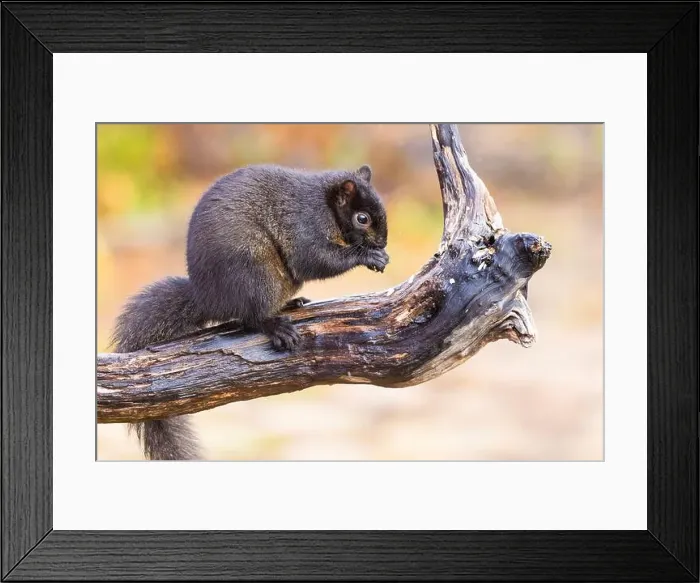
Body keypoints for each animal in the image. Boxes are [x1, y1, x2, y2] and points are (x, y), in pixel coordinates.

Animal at [110, 163, 389, 460]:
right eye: (362, 218)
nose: (382, 244)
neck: (325, 201)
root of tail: (208, 299)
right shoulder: (305, 223)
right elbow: (314, 259)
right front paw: (368, 256)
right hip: (256, 273)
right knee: (252, 317)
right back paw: (275, 327)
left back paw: (290, 304)